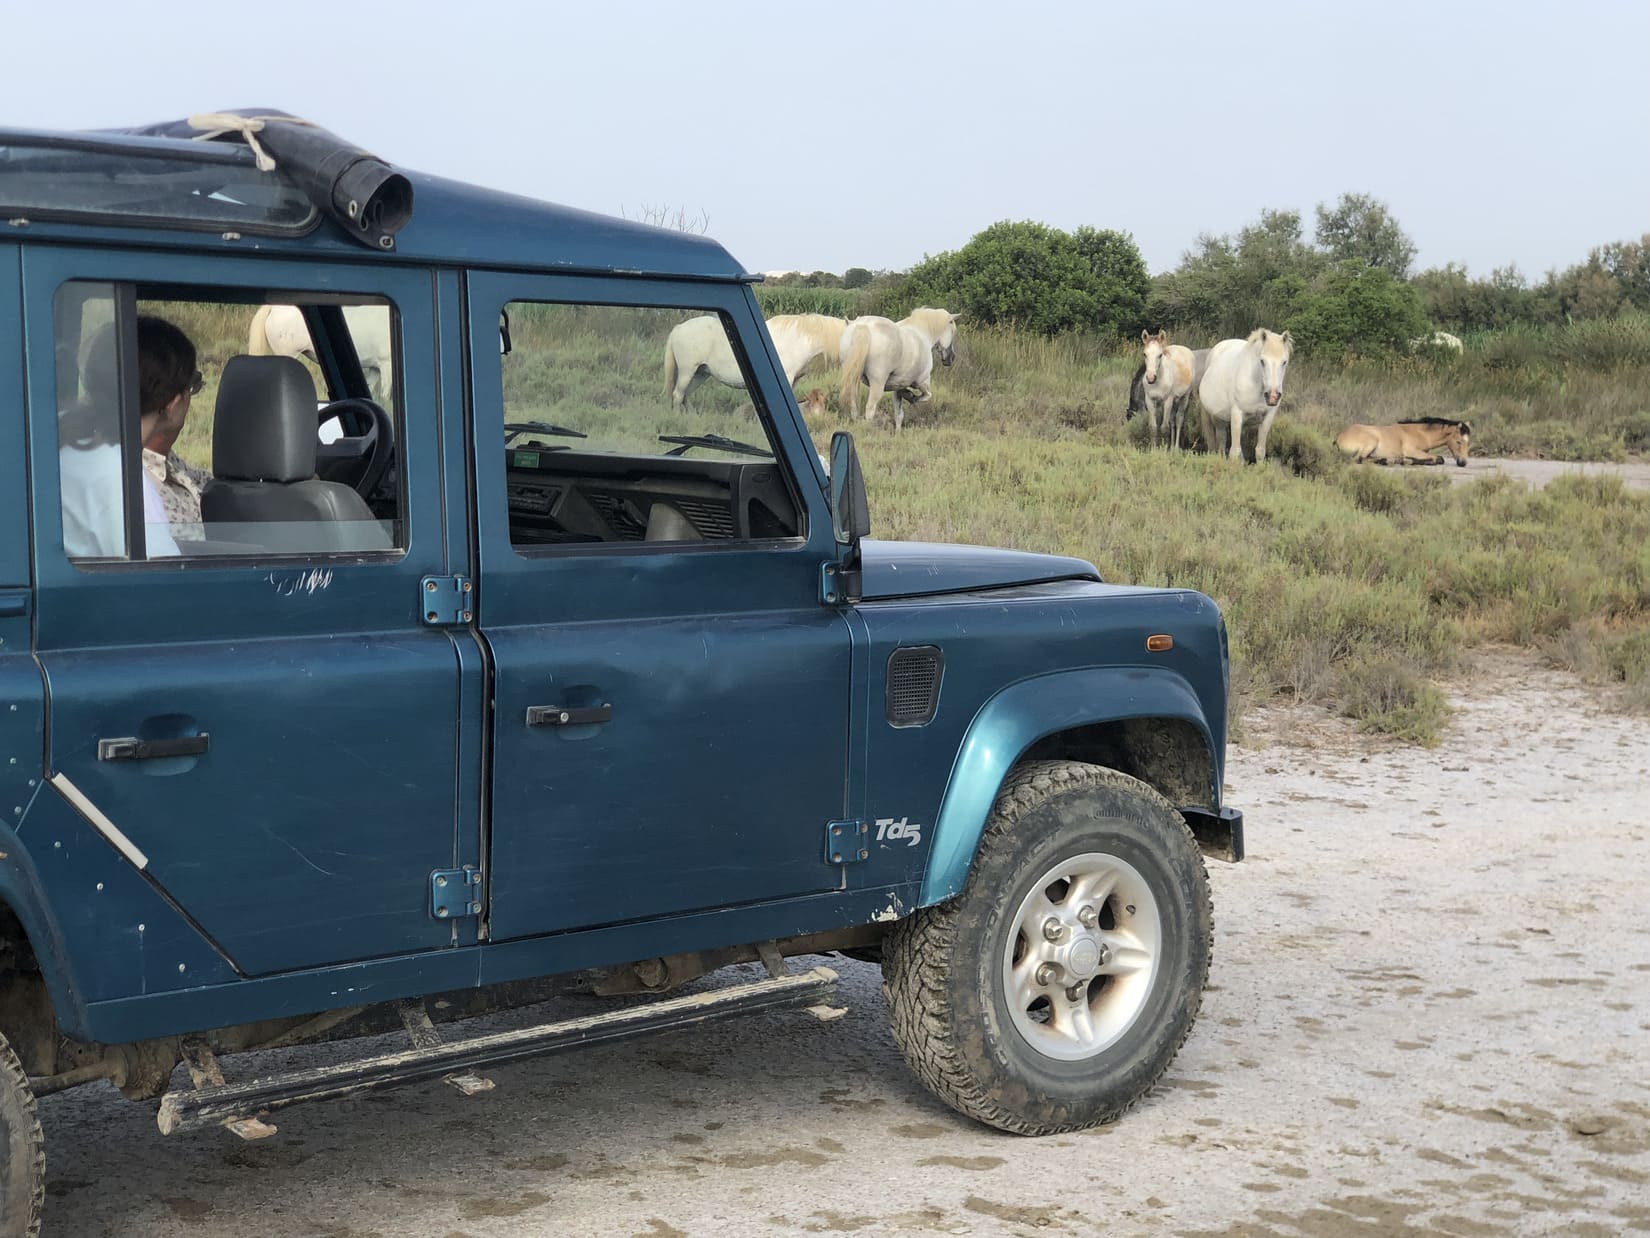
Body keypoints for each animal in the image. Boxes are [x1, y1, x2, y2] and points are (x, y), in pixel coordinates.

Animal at [663, 311, 851, 414]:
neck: (797, 339)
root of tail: (678, 328)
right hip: (688, 371)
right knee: (678, 395)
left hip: (700, 373)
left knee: (685, 395)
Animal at [1201, 326, 1287, 462]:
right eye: (1262, 361)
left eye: (1284, 362)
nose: (1272, 396)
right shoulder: (1237, 414)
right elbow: (1234, 453)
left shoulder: (1267, 418)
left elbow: (1260, 451)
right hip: (1210, 415)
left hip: (1220, 418)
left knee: (1221, 441)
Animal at [1339, 422, 1471, 468]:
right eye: (1458, 441)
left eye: (1468, 443)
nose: (1463, 463)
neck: (1421, 433)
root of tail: (1339, 437)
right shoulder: (1411, 450)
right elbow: (1437, 458)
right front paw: (1406, 460)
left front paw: (1405, 460)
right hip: (1371, 442)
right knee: (1359, 459)